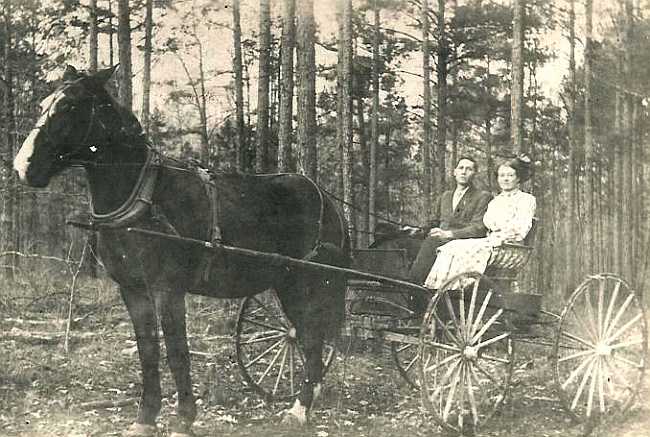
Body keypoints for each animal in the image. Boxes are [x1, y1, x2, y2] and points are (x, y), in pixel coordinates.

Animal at [13, 65, 350, 436]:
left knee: (311, 338)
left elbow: (177, 352)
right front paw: (145, 418)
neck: (144, 197)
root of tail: (327, 199)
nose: (22, 167)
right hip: (286, 284)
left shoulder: (168, 290)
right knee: (306, 337)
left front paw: (184, 419)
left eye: (69, 106)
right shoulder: (133, 290)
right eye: (44, 103)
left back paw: (300, 409)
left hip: (306, 283)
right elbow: (147, 351)